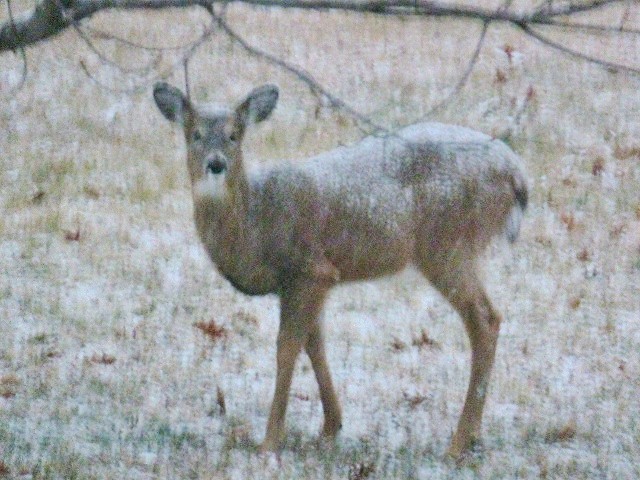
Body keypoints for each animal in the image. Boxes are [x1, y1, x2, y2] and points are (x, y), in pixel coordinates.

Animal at [152, 82, 528, 462]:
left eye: (233, 135)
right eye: (195, 134)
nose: (215, 164)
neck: (254, 224)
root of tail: (515, 172)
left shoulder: (309, 270)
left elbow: (287, 348)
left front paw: (269, 443)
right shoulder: (313, 282)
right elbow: (314, 343)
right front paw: (331, 427)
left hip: (446, 244)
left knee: (486, 319)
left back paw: (457, 443)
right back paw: (473, 436)